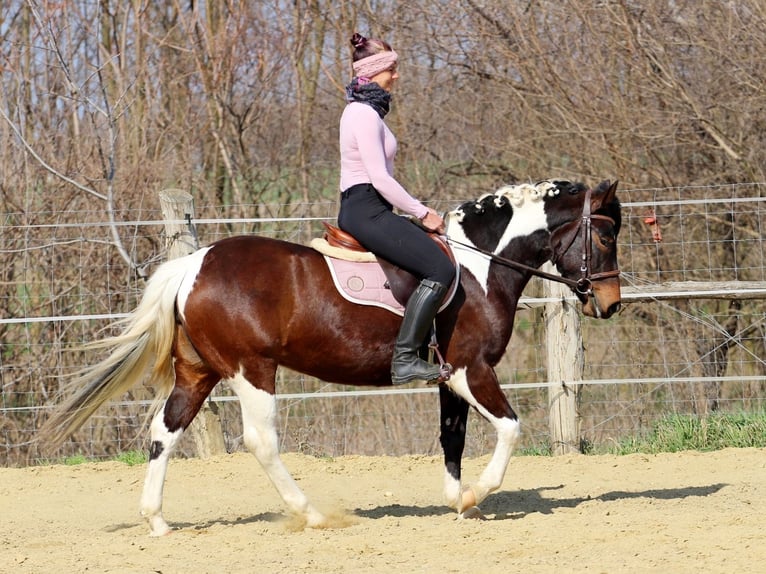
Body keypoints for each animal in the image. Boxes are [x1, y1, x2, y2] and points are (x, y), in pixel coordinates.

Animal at [40, 178, 622, 536]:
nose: (610, 303)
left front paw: (460, 503)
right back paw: (313, 515)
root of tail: (194, 264)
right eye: (606, 235)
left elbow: (452, 439)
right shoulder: (469, 371)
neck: (480, 268)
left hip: (199, 372)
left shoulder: (447, 378)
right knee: (260, 441)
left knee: (165, 431)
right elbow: (510, 428)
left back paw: (157, 521)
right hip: (251, 370)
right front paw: (478, 494)